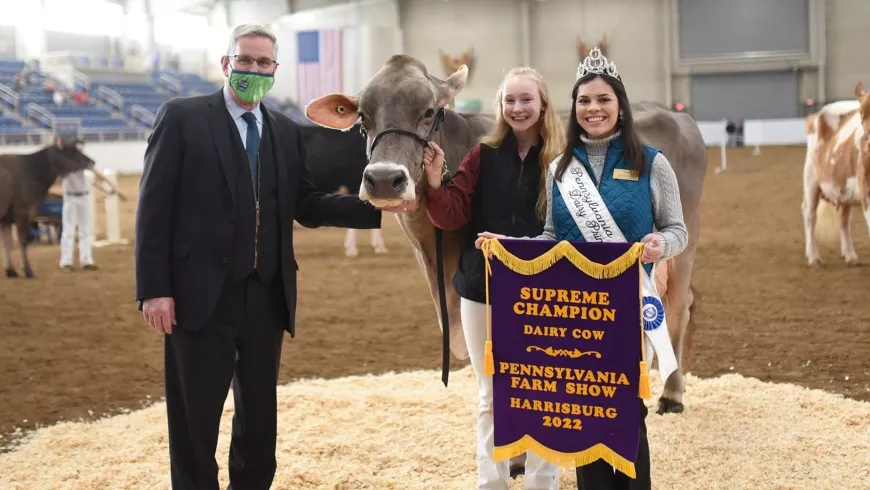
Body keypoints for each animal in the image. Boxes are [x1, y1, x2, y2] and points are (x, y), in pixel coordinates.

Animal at [304, 55, 708, 416]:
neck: (434, 256)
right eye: (362, 117)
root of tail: (674, 113)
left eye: (430, 111)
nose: (385, 179)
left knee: (678, 307)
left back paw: (672, 395)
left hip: (684, 237)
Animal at [804, 81, 870, 266]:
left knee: (843, 221)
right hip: (811, 178)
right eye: (861, 112)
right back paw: (813, 257)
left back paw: (850, 255)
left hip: (843, 188)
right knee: (809, 214)